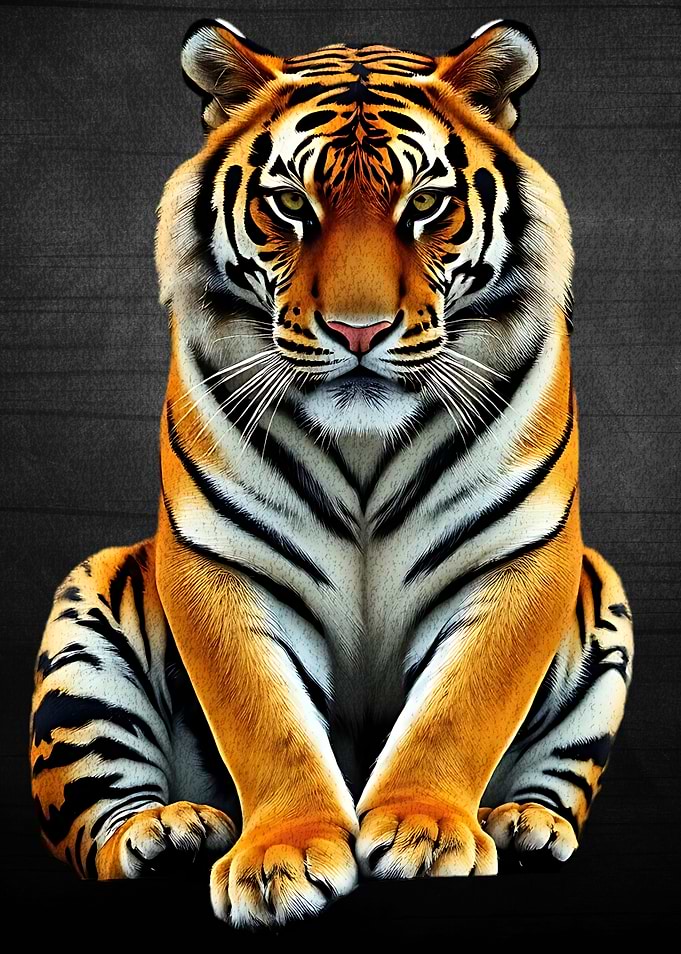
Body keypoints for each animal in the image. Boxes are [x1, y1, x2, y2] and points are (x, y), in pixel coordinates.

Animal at [29, 17, 634, 929]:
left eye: (425, 204)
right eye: (290, 204)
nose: (358, 331)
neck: (364, 451)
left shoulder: (518, 555)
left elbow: (458, 709)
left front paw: (423, 833)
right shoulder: (223, 560)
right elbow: (265, 722)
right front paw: (281, 861)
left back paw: (523, 825)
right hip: (84, 630)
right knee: (93, 823)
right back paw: (166, 832)